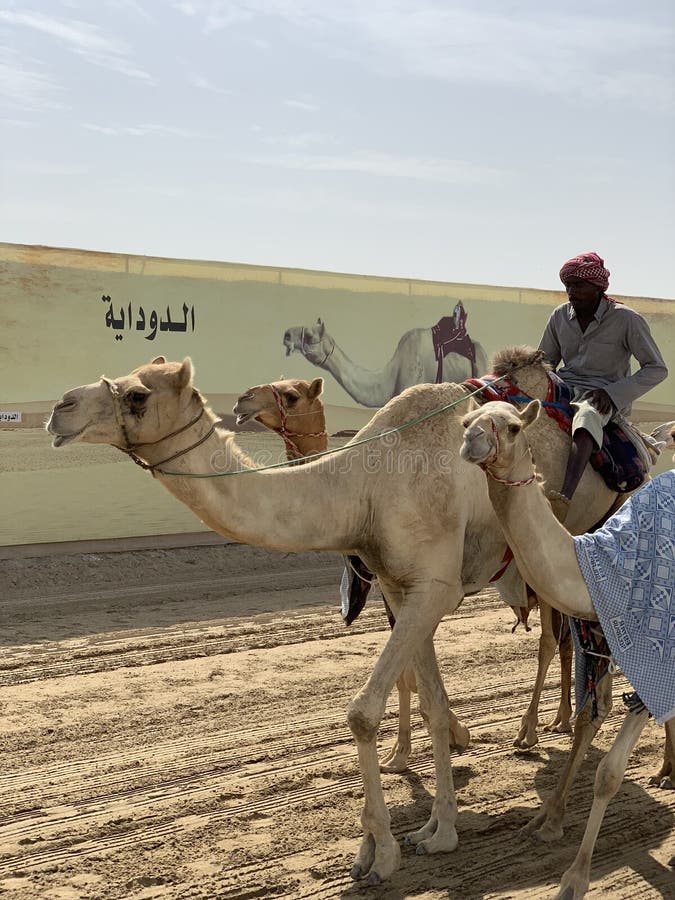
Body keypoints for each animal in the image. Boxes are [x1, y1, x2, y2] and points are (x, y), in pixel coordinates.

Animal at [46, 354, 640, 884]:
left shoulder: (435, 587)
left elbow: (363, 712)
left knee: (594, 686)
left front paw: (379, 854)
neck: (365, 489)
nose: (60, 409)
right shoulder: (405, 588)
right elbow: (433, 704)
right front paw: (438, 831)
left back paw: (554, 810)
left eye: (137, 395)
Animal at [460, 400, 675, 900]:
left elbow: (609, 774)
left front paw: (574, 878)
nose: (471, 442)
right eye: (466, 421)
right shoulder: (604, 641)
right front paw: (547, 820)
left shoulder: (652, 647)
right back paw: (664, 771)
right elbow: (587, 720)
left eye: (512, 427)